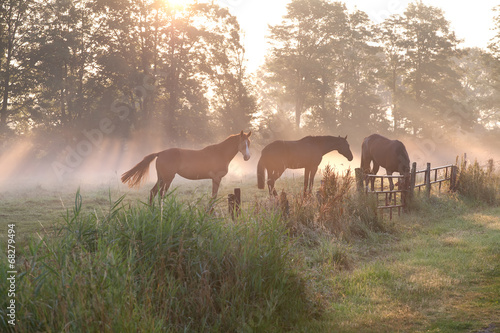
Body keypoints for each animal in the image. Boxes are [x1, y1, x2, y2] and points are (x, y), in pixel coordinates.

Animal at [120, 130, 252, 202]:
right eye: (242, 143)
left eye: (249, 143)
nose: (247, 157)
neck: (220, 153)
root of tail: (160, 153)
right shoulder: (216, 178)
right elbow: (213, 197)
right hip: (168, 179)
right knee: (161, 195)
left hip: (161, 178)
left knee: (153, 192)